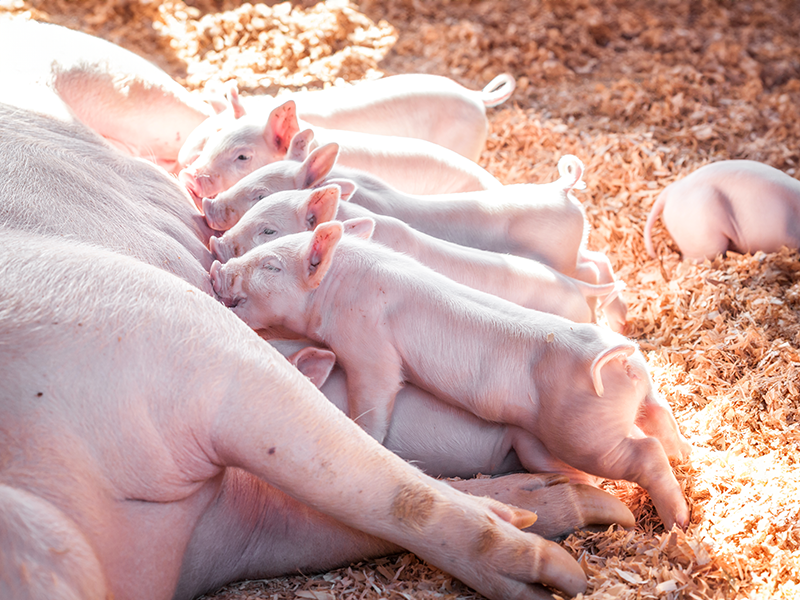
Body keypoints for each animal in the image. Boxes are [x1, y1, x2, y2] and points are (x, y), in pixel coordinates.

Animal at [211, 223, 692, 529]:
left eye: (272, 265)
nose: (218, 268)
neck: (339, 284)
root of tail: (616, 357)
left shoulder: (369, 348)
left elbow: (374, 398)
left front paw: (365, 435)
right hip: (639, 396)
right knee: (661, 421)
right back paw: (687, 458)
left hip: (582, 433)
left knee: (644, 453)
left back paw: (678, 522)